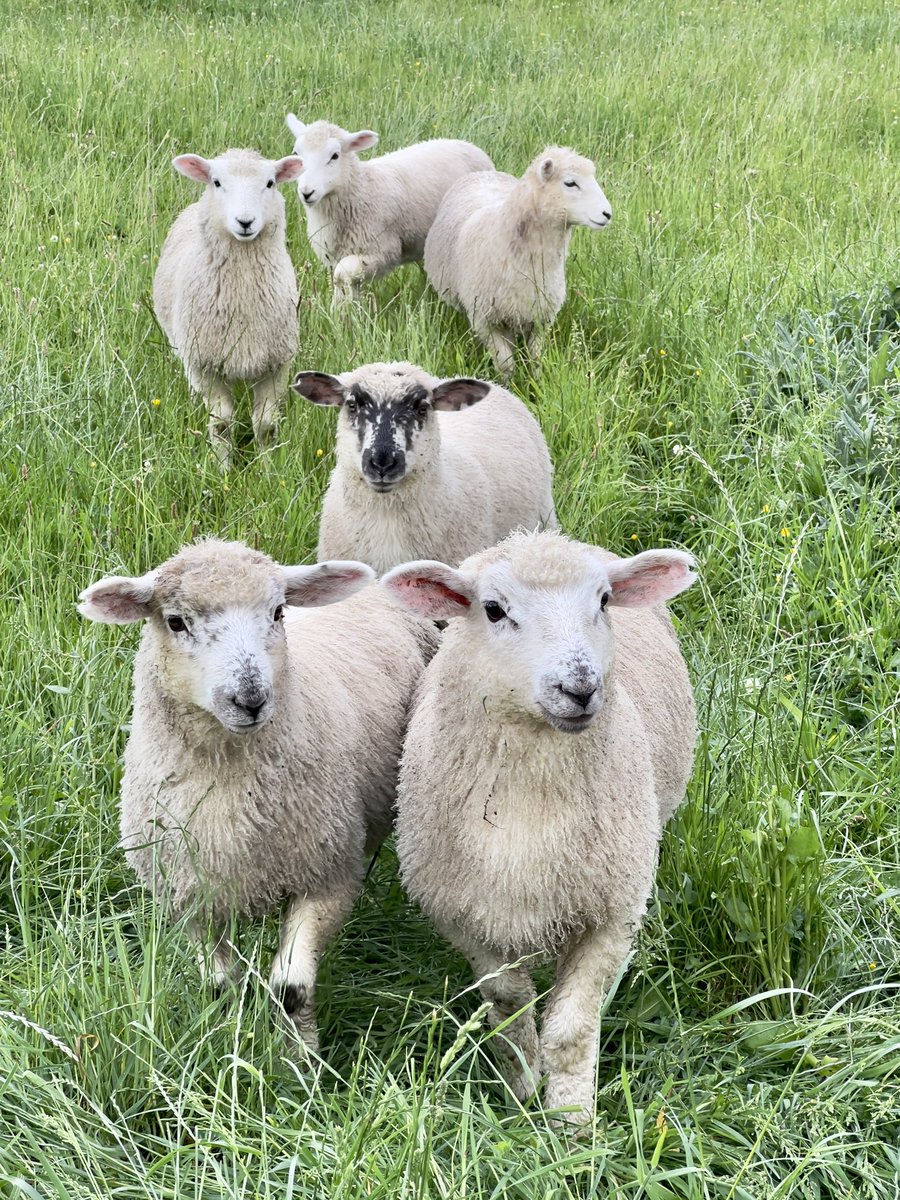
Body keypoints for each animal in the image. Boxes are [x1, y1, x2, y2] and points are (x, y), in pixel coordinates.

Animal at [78, 539, 438, 1051]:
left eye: (278, 611)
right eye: (176, 621)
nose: (250, 699)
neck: (229, 780)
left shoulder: (325, 876)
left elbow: (290, 988)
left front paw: (301, 1059)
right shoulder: (191, 895)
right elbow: (219, 987)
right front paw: (223, 1040)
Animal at [153, 149, 303, 470]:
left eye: (270, 183)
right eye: (217, 182)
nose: (245, 221)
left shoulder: (276, 363)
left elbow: (265, 424)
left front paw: (267, 470)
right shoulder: (204, 363)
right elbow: (221, 422)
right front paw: (224, 469)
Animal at [285, 115, 492, 305]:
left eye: (335, 156)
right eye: (296, 153)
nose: (306, 192)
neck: (363, 192)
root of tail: (467, 144)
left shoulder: (383, 253)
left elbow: (341, 273)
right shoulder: (337, 255)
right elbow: (344, 286)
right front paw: (344, 314)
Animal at [381, 530, 696, 1121]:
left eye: (603, 601)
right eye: (493, 609)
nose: (580, 687)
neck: (531, 807)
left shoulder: (611, 913)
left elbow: (571, 1030)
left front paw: (571, 1120)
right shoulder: (468, 917)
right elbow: (507, 1010)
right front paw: (523, 1096)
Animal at [423, 147, 612, 376]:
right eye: (570, 183)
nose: (607, 214)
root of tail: (483, 174)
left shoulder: (541, 319)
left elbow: (536, 359)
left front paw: (536, 381)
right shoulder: (485, 320)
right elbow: (506, 364)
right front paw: (508, 383)